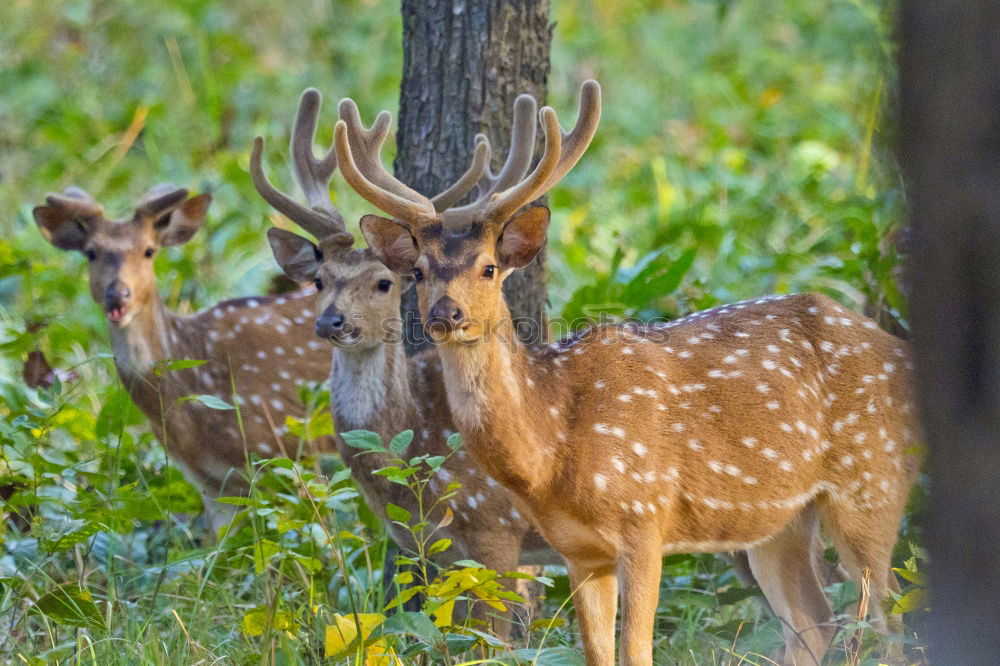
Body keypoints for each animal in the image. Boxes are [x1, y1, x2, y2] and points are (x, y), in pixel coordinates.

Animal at [336, 81, 920, 664]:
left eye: (489, 267)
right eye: (417, 272)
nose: (445, 314)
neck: (552, 448)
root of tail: (902, 352)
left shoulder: (645, 517)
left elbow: (636, 649)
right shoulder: (578, 551)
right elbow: (598, 653)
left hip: (872, 483)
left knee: (891, 623)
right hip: (778, 522)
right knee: (815, 625)